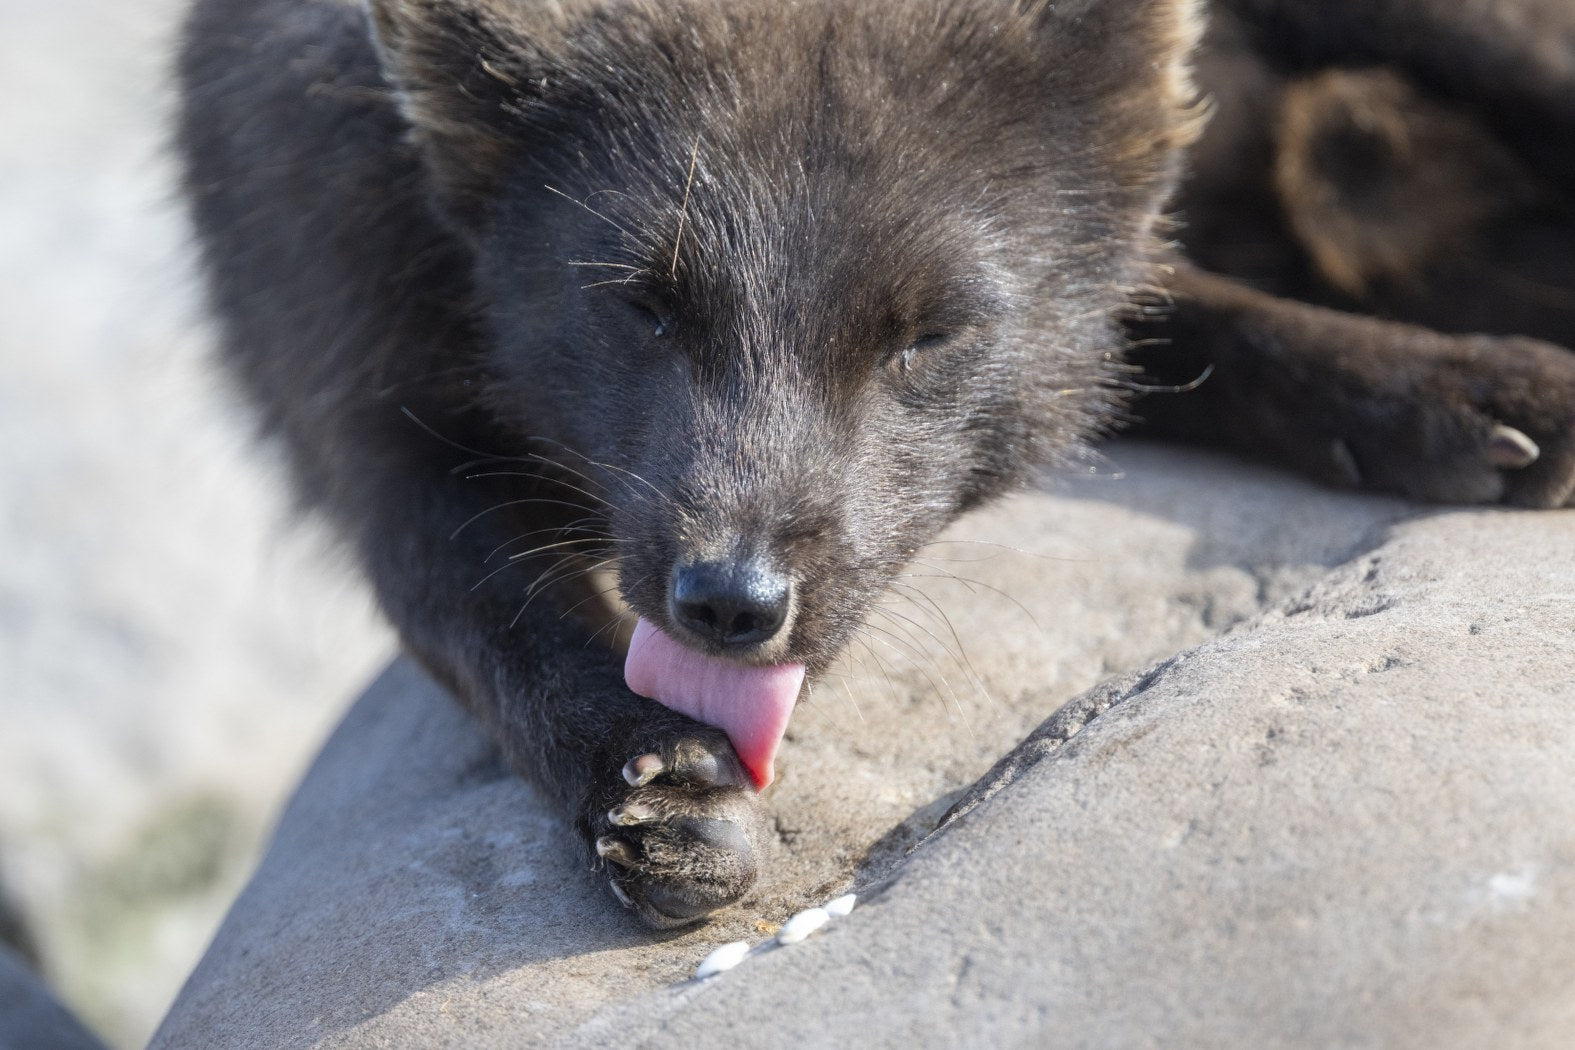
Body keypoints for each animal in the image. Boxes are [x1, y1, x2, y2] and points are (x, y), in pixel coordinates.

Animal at [176, 0, 1575, 928]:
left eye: (929, 335)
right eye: (641, 305)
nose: (730, 605)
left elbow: (1183, 324)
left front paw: (1467, 394)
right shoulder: (358, 407)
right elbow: (491, 617)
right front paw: (655, 784)